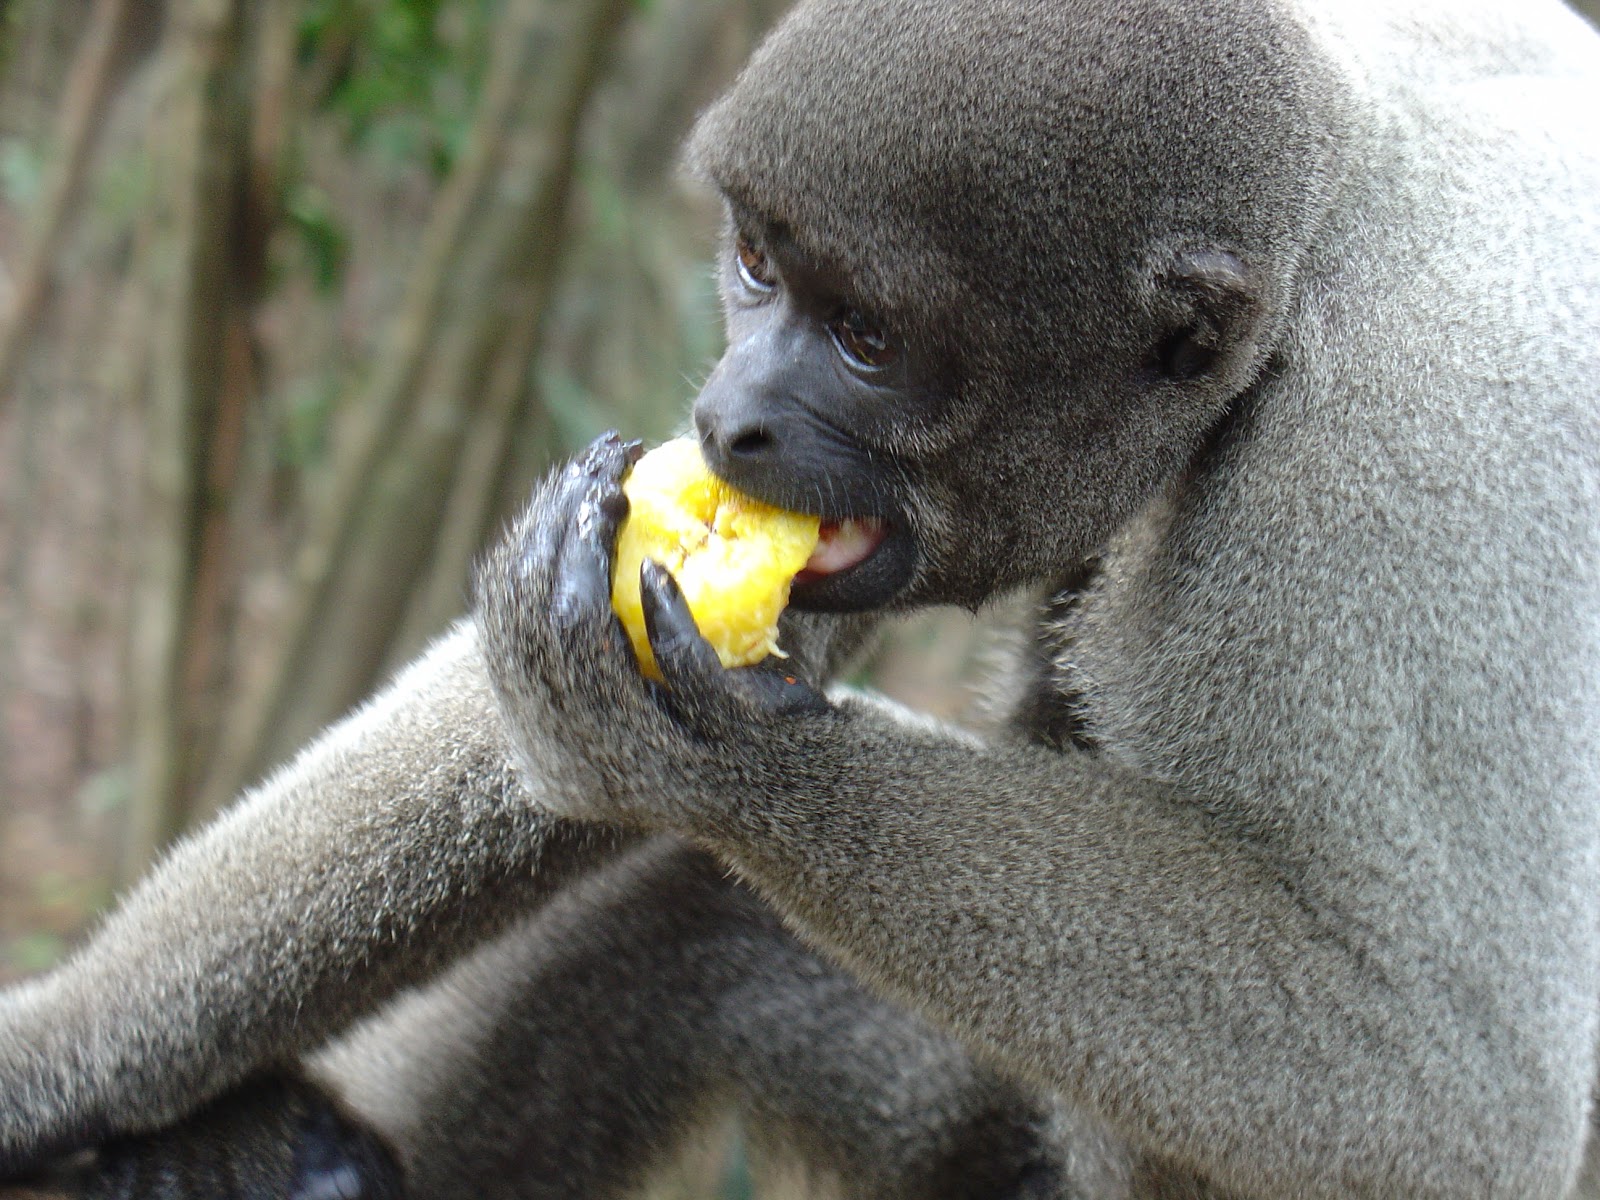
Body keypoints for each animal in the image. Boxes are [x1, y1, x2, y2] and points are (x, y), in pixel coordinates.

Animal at [3, 0, 1600, 1196]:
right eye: (758, 263)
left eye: (868, 337)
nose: (730, 418)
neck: (1322, 214)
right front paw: (40, 1063)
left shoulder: (1423, 455)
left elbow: (1440, 1082)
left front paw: (702, 759)